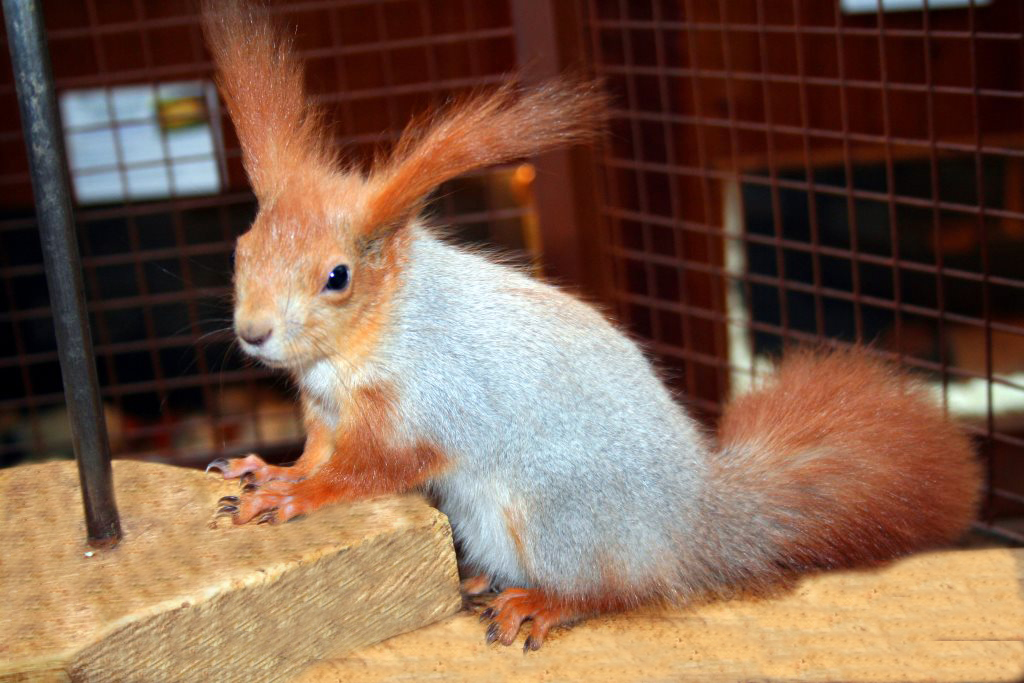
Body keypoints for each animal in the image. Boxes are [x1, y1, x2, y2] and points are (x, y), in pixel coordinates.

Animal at [201, 0, 983, 651]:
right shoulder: (324, 409)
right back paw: (484, 580)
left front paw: (295, 495)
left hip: (556, 520)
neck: (357, 345)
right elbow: (317, 449)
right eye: (240, 247)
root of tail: (691, 527)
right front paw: (267, 468)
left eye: (337, 277)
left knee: (618, 591)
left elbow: (368, 470)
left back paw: (538, 603)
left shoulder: (427, 402)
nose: (254, 332)